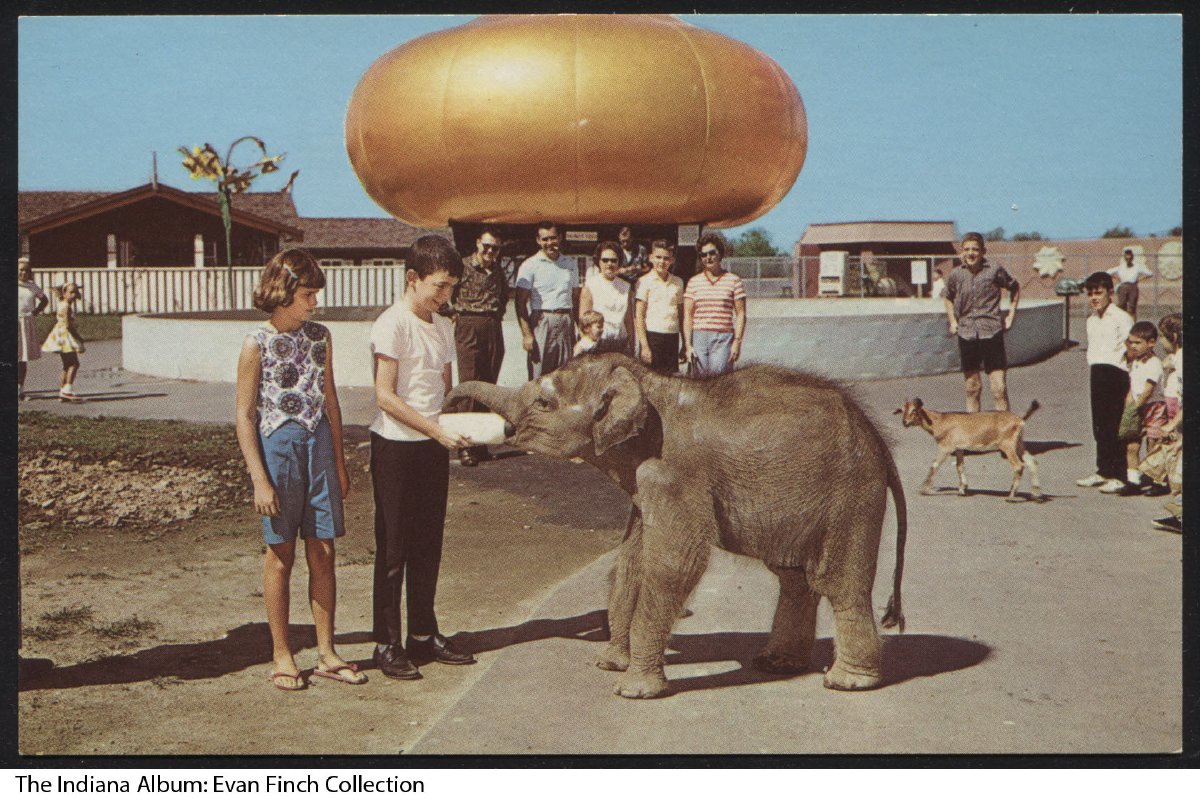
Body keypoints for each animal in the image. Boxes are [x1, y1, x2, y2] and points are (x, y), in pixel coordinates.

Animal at [897, 398, 1046, 504]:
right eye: (902, 410)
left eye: (914, 410)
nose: (905, 422)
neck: (939, 421)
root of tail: (1020, 420)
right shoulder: (959, 448)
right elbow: (959, 466)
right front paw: (962, 490)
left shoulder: (946, 447)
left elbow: (935, 465)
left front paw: (924, 489)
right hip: (1018, 443)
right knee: (1032, 462)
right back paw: (1036, 494)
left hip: (1007, 445)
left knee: (1018, 465)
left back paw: (1011, 496)